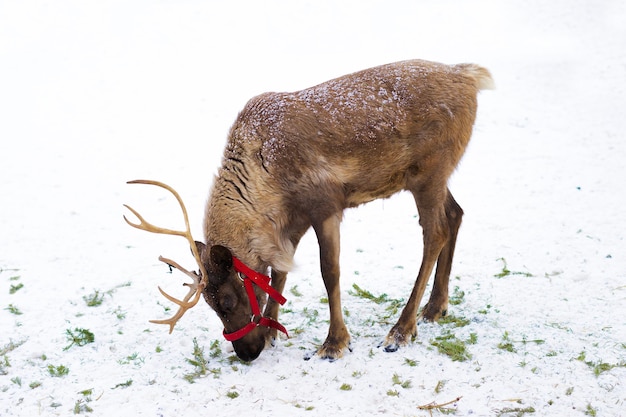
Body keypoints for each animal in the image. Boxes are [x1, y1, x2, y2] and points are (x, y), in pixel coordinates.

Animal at [123, 58, 492, 360]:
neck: (263, 177)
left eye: (227, 300)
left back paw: (401, 330)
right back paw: (435, 307)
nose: (245, 353)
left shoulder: (324, 205)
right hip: (431, 177)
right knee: (456, 214)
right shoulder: (292, 218)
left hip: (430, 171)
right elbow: (279, 273)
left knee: (435, 233)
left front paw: (334, 343)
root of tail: (470, 76)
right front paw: (270, 331)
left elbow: (330, 272)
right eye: (210, 304)